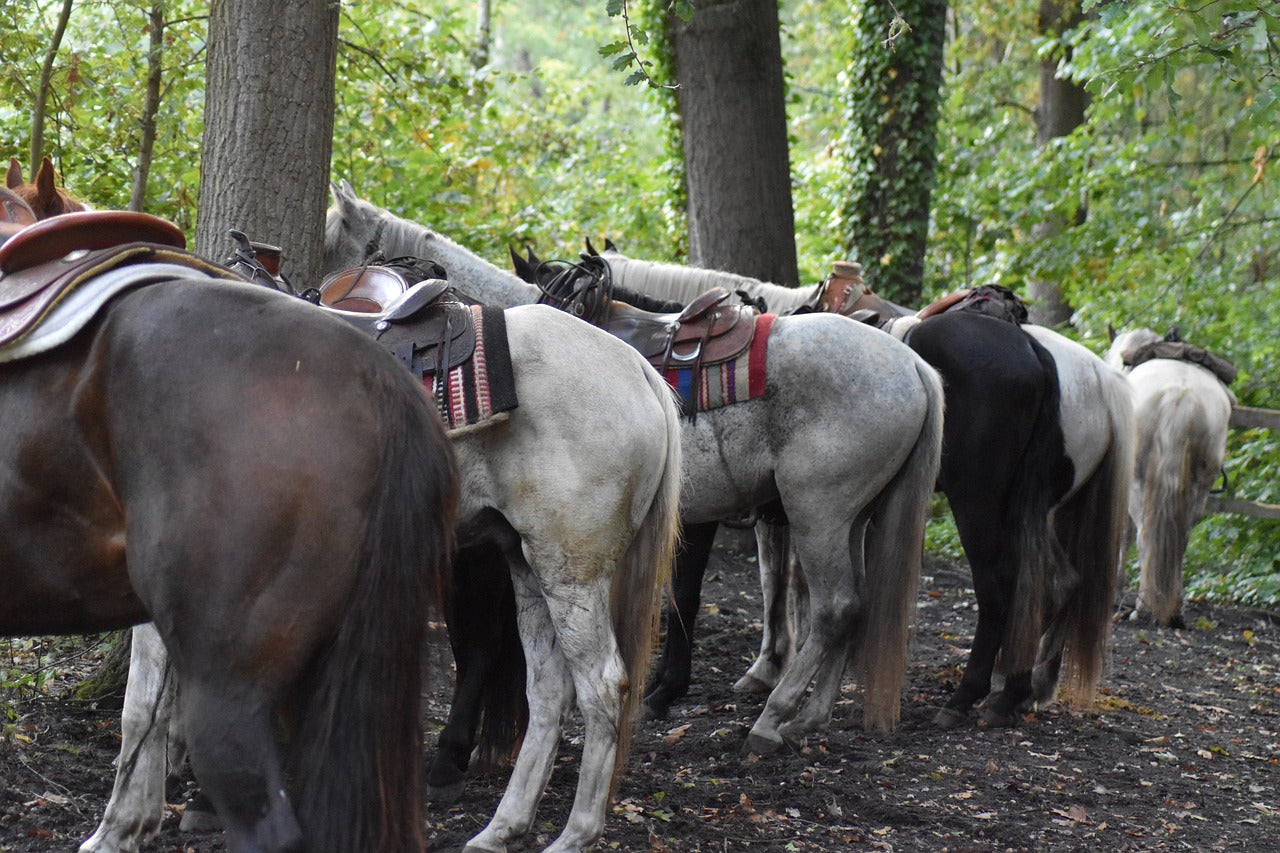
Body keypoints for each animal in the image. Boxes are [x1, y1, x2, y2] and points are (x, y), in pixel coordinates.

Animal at [81, 297, 686, 850]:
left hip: (570, 571)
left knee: (603, 688)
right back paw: (502, 828)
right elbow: (158, 707)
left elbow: (141, 709)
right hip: (527, 564)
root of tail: (637, 369)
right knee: (548, 692)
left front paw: (115, 831)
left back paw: (574, 835)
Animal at [325, 185, 947, 758]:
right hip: (852, 518)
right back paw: (809, 715)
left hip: (819, 515)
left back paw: (775, 717)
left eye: (335, 242)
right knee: (854, 605)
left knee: (836, 607)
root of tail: (913, 363)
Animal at [1105, 325, 1233, 625]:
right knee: (1182, 534)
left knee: (1142, 534)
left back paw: (1142, 607)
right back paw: (1174, 609)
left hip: (1138, 484)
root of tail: (1181, 395)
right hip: (1199, 487)